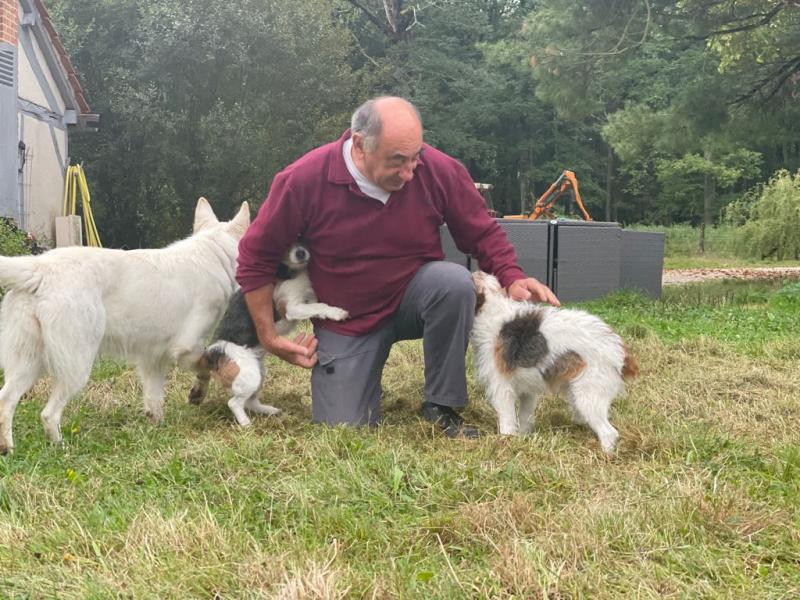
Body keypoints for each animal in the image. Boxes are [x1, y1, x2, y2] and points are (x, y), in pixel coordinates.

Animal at [0, 199, 248, 452]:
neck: (213, 253)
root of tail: (41, 267)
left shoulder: (152, 359)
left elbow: (154, 397)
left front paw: (157, 427)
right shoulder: (187, 348)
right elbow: (206, 366)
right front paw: (197, 394)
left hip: (29, 363)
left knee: (5, 401)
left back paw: (8, 448)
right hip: (76, 367)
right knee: (48, 414)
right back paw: (61, 447)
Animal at [191, 241, 350, 424]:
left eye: (301, 237)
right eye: (284, 243)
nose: (301, 253)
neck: (288, 269)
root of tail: (216, 350)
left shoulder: (307, 298)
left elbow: (316, 304)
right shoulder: (292, 308)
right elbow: (319, 306)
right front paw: (337, 312)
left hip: (259, 373)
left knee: (250, 401)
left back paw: (268, 411)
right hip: (249, 375)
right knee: (234, 403)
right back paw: (246, 424)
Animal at [468, 270, 636, 450]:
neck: (490, 307)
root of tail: (618, 348)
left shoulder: (502, 387)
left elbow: (507, 419)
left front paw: (506, 441)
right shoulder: (527, 391)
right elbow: (525, 417)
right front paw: (524, 438)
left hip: (588, 397)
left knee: (609, 433)